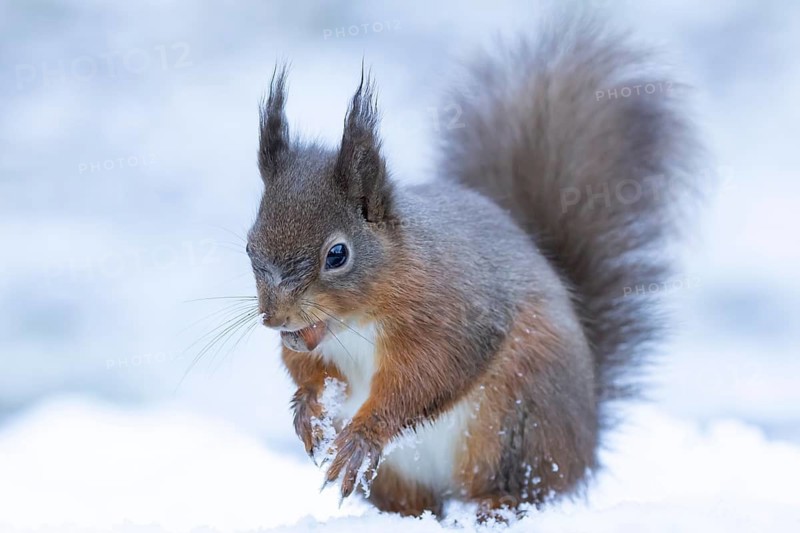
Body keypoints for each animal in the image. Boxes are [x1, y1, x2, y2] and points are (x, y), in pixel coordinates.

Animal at [246, 12, 699, 519]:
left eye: (337, 255)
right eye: (248, 246)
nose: (275, 318)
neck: (354, 323)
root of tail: (587, 446)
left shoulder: (450, 314)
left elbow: (426, 378)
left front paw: (363, 435)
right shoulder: (314, 347)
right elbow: (306, 368)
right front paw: (308, 409)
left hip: (516, 416)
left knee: (529, 487)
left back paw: (496, 503)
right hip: (407, 471)